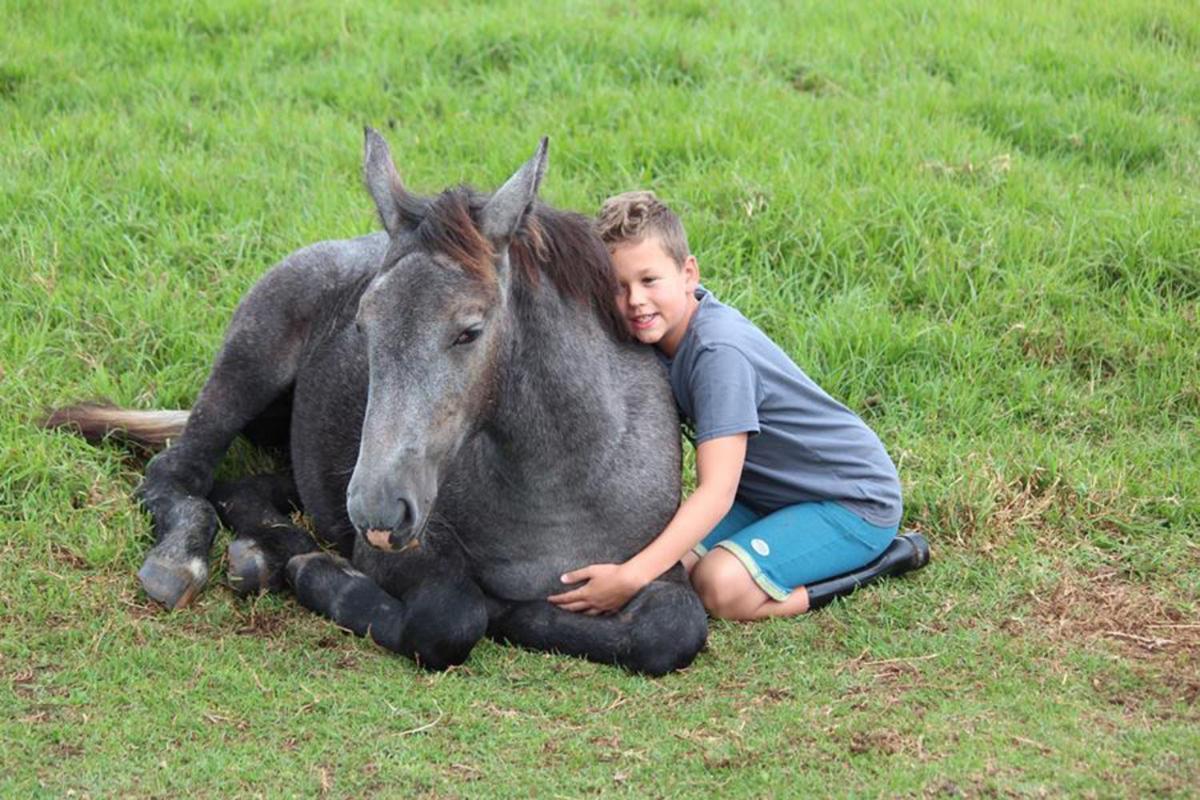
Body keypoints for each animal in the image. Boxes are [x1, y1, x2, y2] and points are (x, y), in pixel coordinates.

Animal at [51, 131, 705, 676]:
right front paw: (324, 575)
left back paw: (259, 554)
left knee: (246, 489)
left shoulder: (656, 565)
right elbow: (451, 619)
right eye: (363, 326)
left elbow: (674, 629)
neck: (563, 481)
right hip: (249, 367)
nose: (379, 507)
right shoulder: (395, 556)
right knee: (178, 475)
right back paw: (189, 561)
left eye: (469, 331)